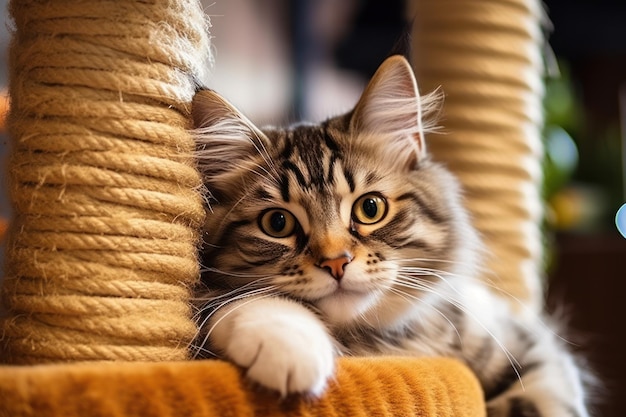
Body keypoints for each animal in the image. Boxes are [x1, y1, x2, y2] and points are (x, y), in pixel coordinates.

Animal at [193, 55, 588, 416]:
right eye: (278, 224)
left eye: (370, 208)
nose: (336, 263)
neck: (380, 344)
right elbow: (239, 300)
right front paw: (288, 347)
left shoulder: (524, 343)